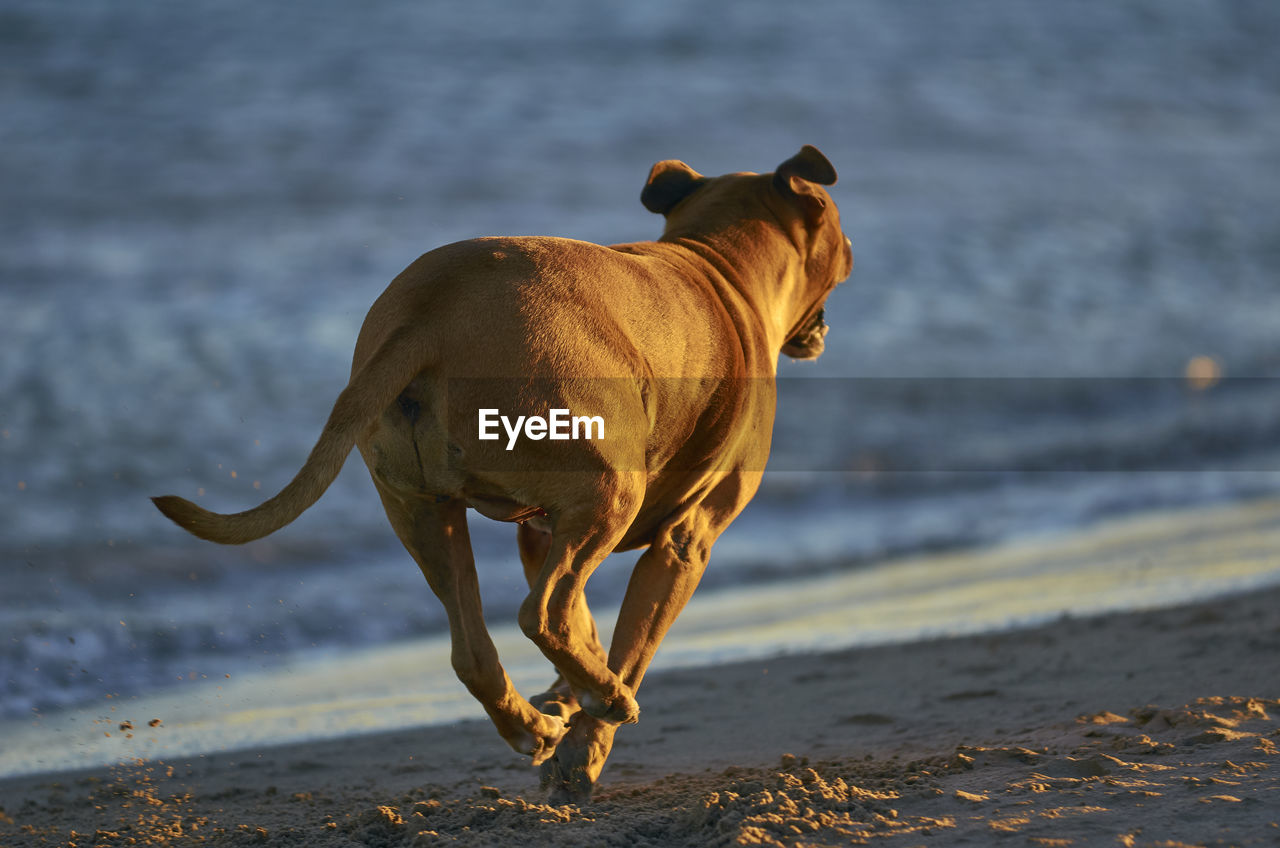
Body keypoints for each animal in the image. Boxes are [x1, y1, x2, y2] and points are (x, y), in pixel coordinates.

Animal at [154, 146, 855, 804]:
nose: (851, 252)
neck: (716, 264)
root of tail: (429, 314)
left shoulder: (540, 529)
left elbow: (588, 627)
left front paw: (566, 703)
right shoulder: (686, 542)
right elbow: (627, 643)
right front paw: (587, 741)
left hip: (422, 508)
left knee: (476, 645)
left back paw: (534, 723)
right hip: (609, 493)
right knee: (542, 614)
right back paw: (603, 700)